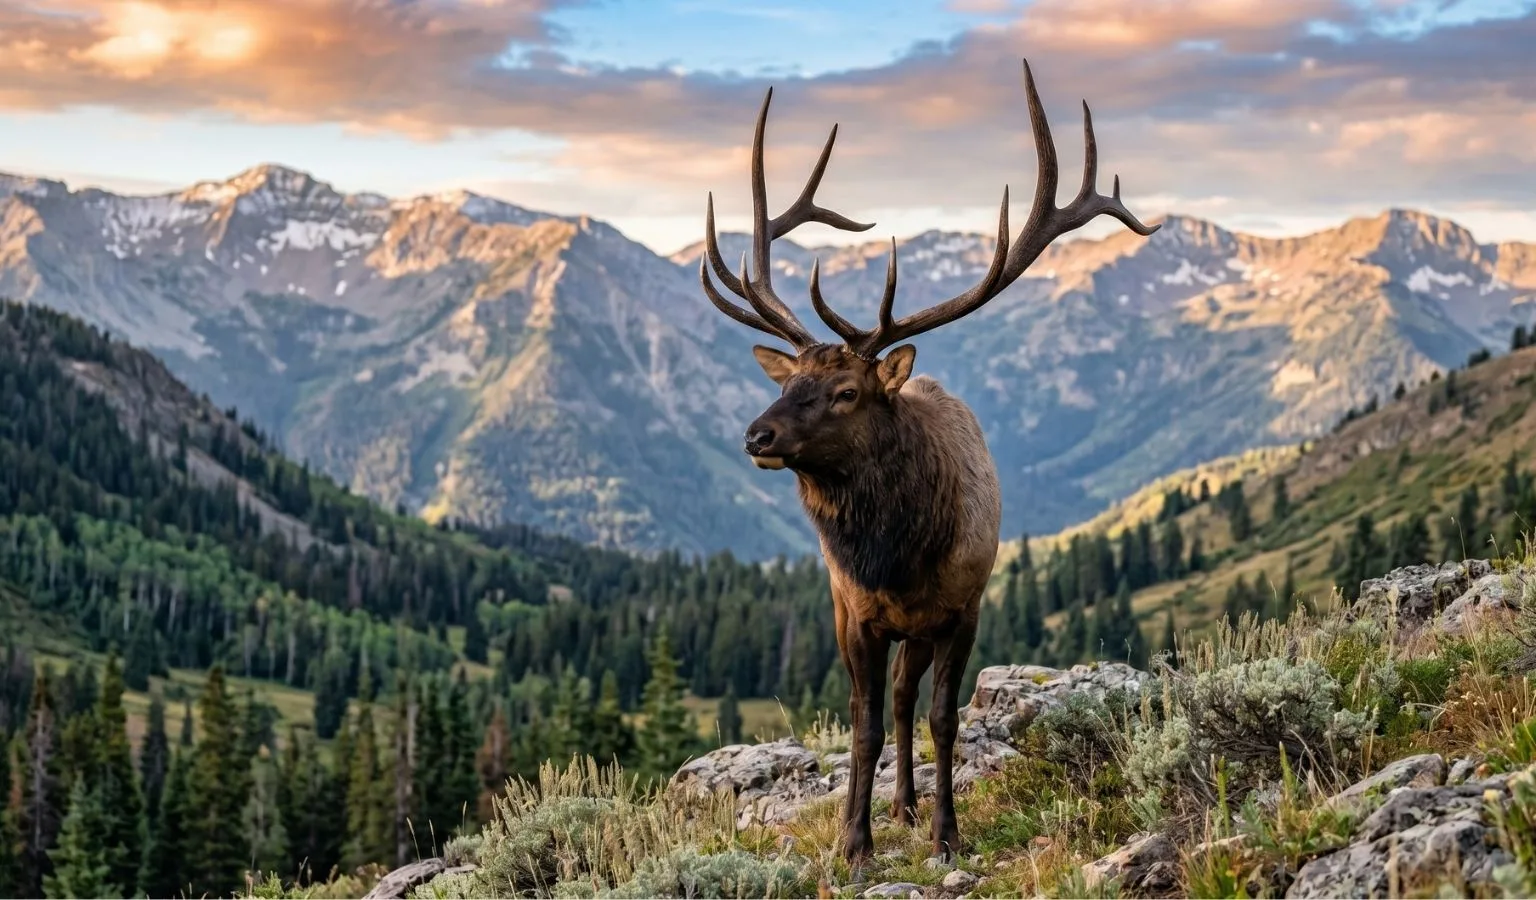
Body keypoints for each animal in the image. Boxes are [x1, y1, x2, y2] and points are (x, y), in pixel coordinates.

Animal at [697, 59, 1158, 868]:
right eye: (787, 383)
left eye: (846, 392)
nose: (757, 435)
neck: (897, 556)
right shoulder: (853, 611)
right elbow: (864, 722)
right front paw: (855, 841)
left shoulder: (962, 609)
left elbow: (944, 718)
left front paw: (947, 834)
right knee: (895, 699)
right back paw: (898, 805)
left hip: (925, 626)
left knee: (913, 698)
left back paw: (914, 807)